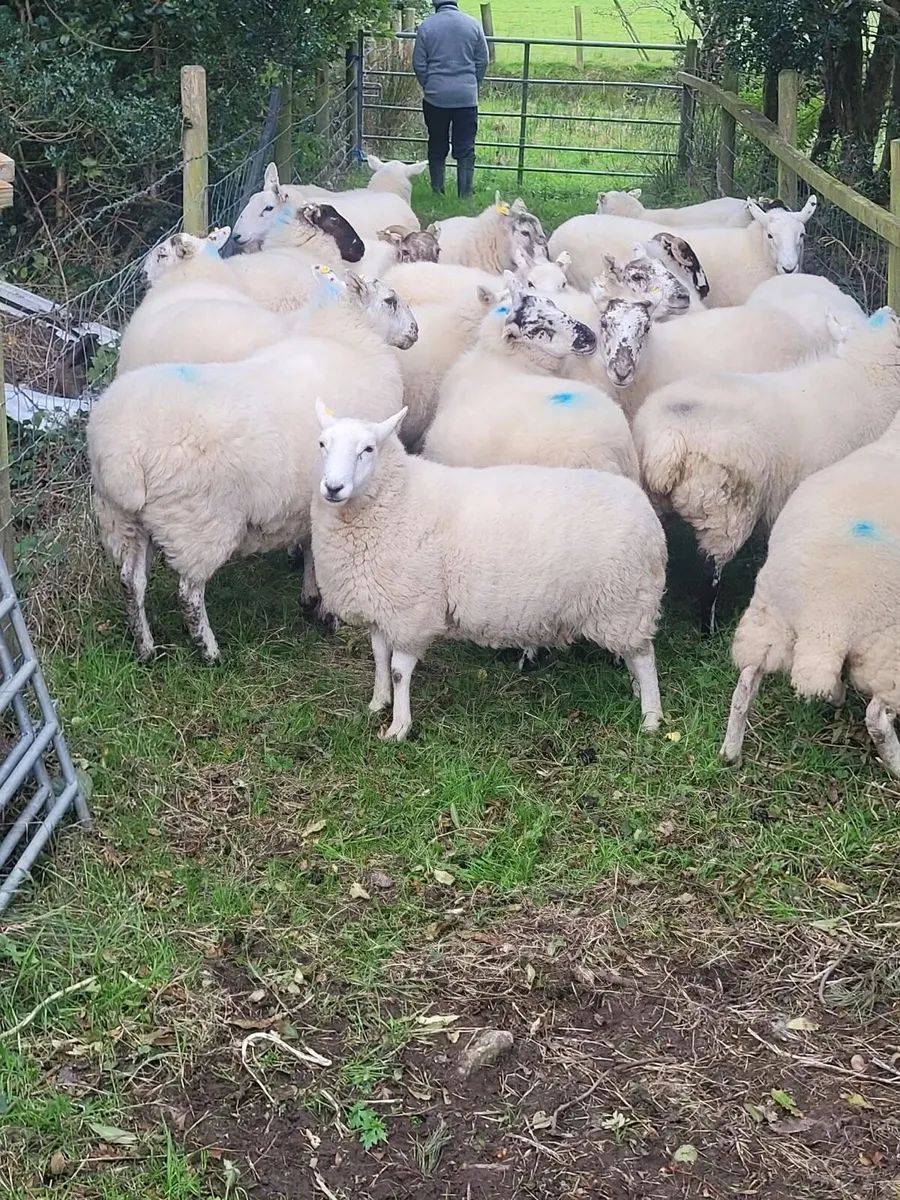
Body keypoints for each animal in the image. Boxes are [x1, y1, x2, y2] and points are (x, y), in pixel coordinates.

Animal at [89, 267, 418, 663]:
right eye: (390, 300)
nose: (415, 332)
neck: (349, 340)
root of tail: (122, 453)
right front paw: (327, 612)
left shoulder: (309, 496)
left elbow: (310, 544)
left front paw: (310, 599)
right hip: (197, 522)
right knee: (188, 592)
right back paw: (209, 650)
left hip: (124, 520)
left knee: (131, 581)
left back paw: (146, 648)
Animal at [310, 406, 667, 740]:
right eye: (322, 444)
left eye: (368, 449)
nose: (333, 487)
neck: (399, 498)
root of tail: (645, 508)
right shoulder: (381, 604)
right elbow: (379, 656)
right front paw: (378, 702)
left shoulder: (412, 611)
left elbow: (399, 671)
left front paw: (398, 727)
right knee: (636, 656)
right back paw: (636, 691)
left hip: (625, 603)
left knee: (645, 658)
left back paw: (651, 717)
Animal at [632, 308, 900, 631]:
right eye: (896, 322)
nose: (889, 309)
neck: (865, 373)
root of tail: (668, 438)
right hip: (726, 512)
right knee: (711, 576)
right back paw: (709, 629)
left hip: (655, 500)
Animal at [720, 409, 900, 779]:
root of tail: (825, 617)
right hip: (888, 648)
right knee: (876, 717)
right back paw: (897, 763)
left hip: (767, 624)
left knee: (744, 686)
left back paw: (730, 753)